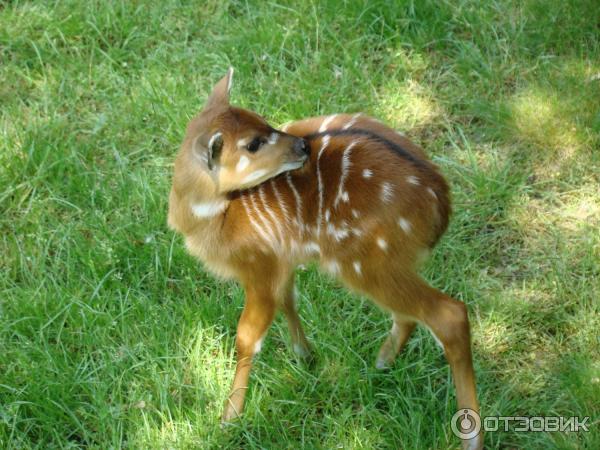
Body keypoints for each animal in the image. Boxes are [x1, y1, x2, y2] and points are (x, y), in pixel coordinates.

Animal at [168, 68, 482, 448]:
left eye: (262, 124)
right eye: (253, 142)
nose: (303, 146)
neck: (213, 217)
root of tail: (440, 201)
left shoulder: (259, 265)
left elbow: (247, 337)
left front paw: (229, 418)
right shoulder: (282, 262)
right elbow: (289, 301)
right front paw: (306, 357)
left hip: (363, 262)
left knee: (449, 314)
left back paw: (470, 437)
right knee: (410, 314)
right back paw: (380, 363)